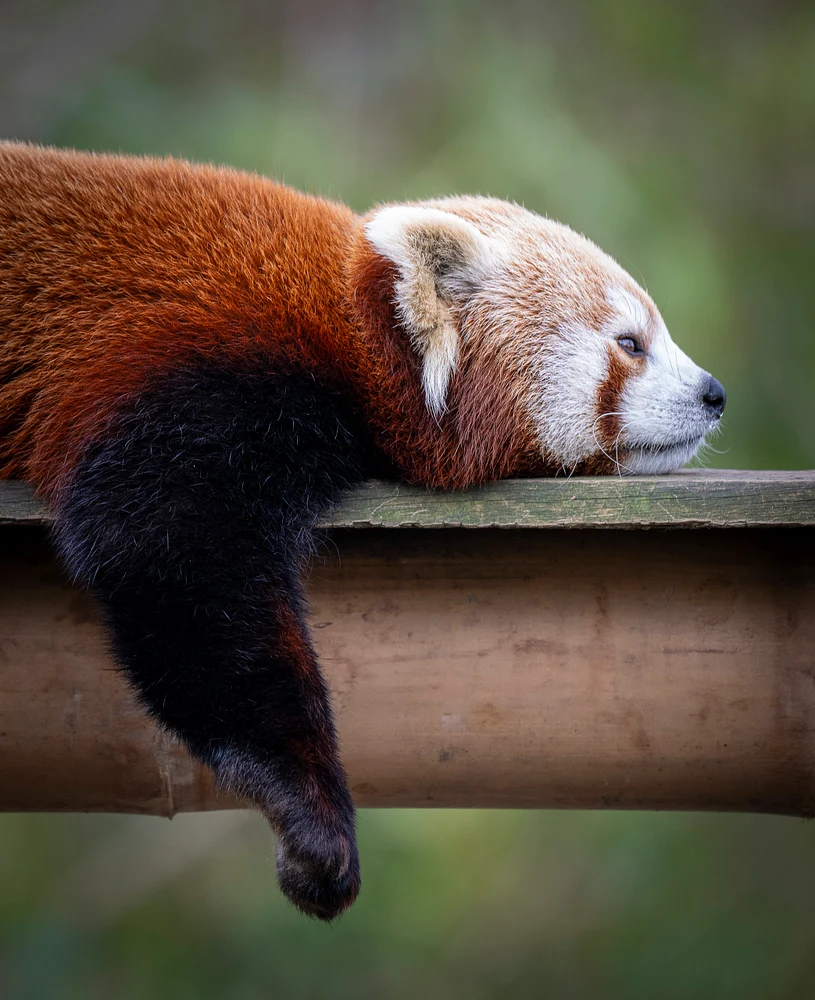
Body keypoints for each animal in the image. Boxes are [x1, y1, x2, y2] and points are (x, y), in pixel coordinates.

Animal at [0, 142, 725, 919]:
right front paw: (313, 823)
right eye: (630, 343)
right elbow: (173, 555)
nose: (714, 393)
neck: (344, 328)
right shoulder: (190, 364)